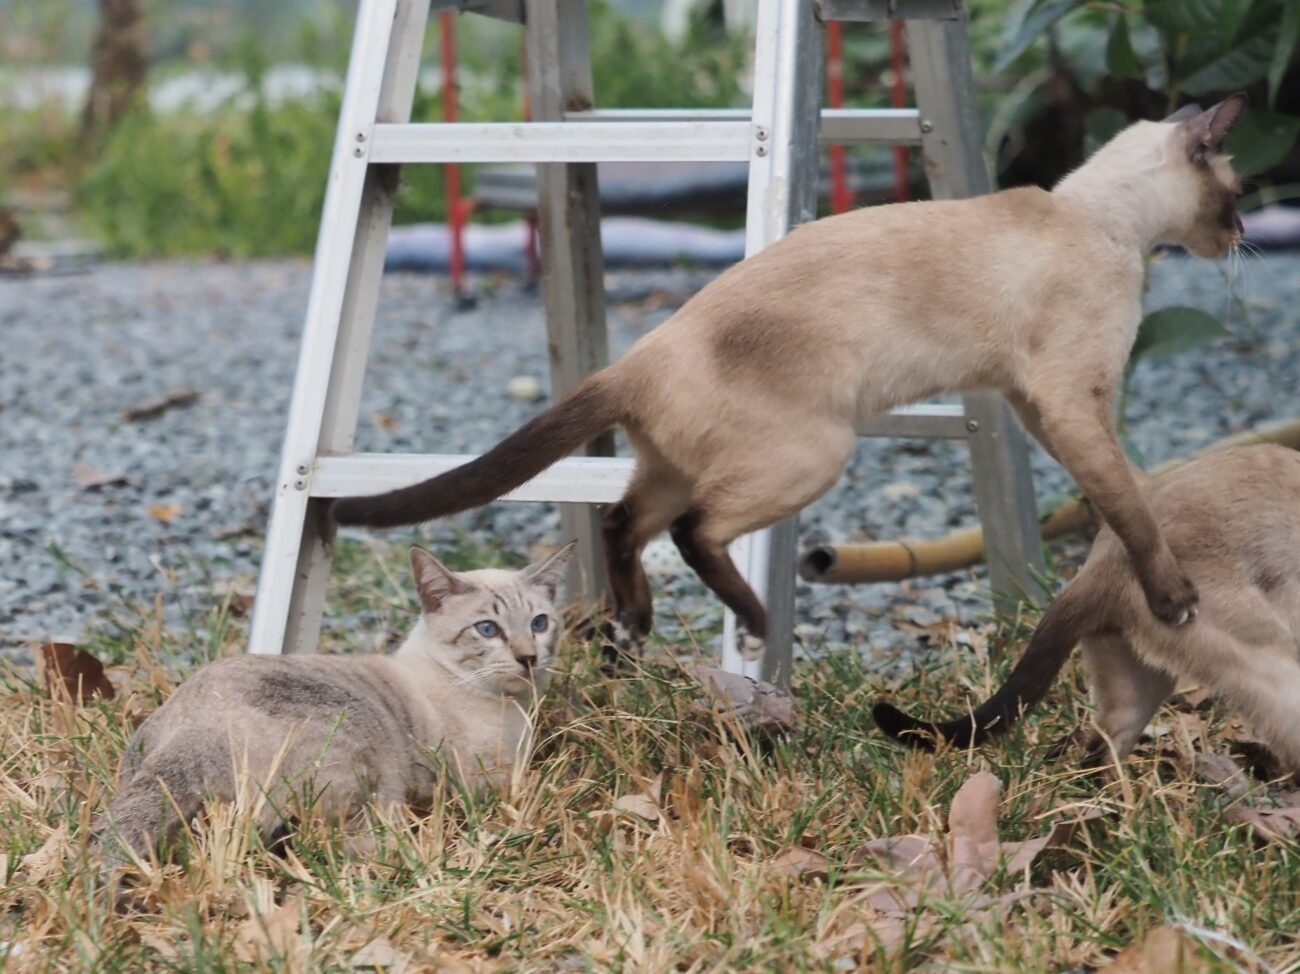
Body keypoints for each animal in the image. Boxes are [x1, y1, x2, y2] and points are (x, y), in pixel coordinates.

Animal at [94, 538, 572, 868]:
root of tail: (192, 731)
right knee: (339, 841)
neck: (511, 709)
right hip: (368, 746)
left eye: (539, 623)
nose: (529, 658)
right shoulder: (486, 782)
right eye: (487, 629)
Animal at [330, 96, 1242, 660]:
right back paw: (754, 623)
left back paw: (635, 623)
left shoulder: (1037, 406)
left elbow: (1117, 500)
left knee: (623, 521)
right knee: (693, 530)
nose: (1239, 236)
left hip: (680, 465)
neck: (1097, 217)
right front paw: (1175, 602)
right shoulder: (1073, 403)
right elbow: (1132, 508)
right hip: (815, 454)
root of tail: (638, 355)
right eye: (1235, 197)